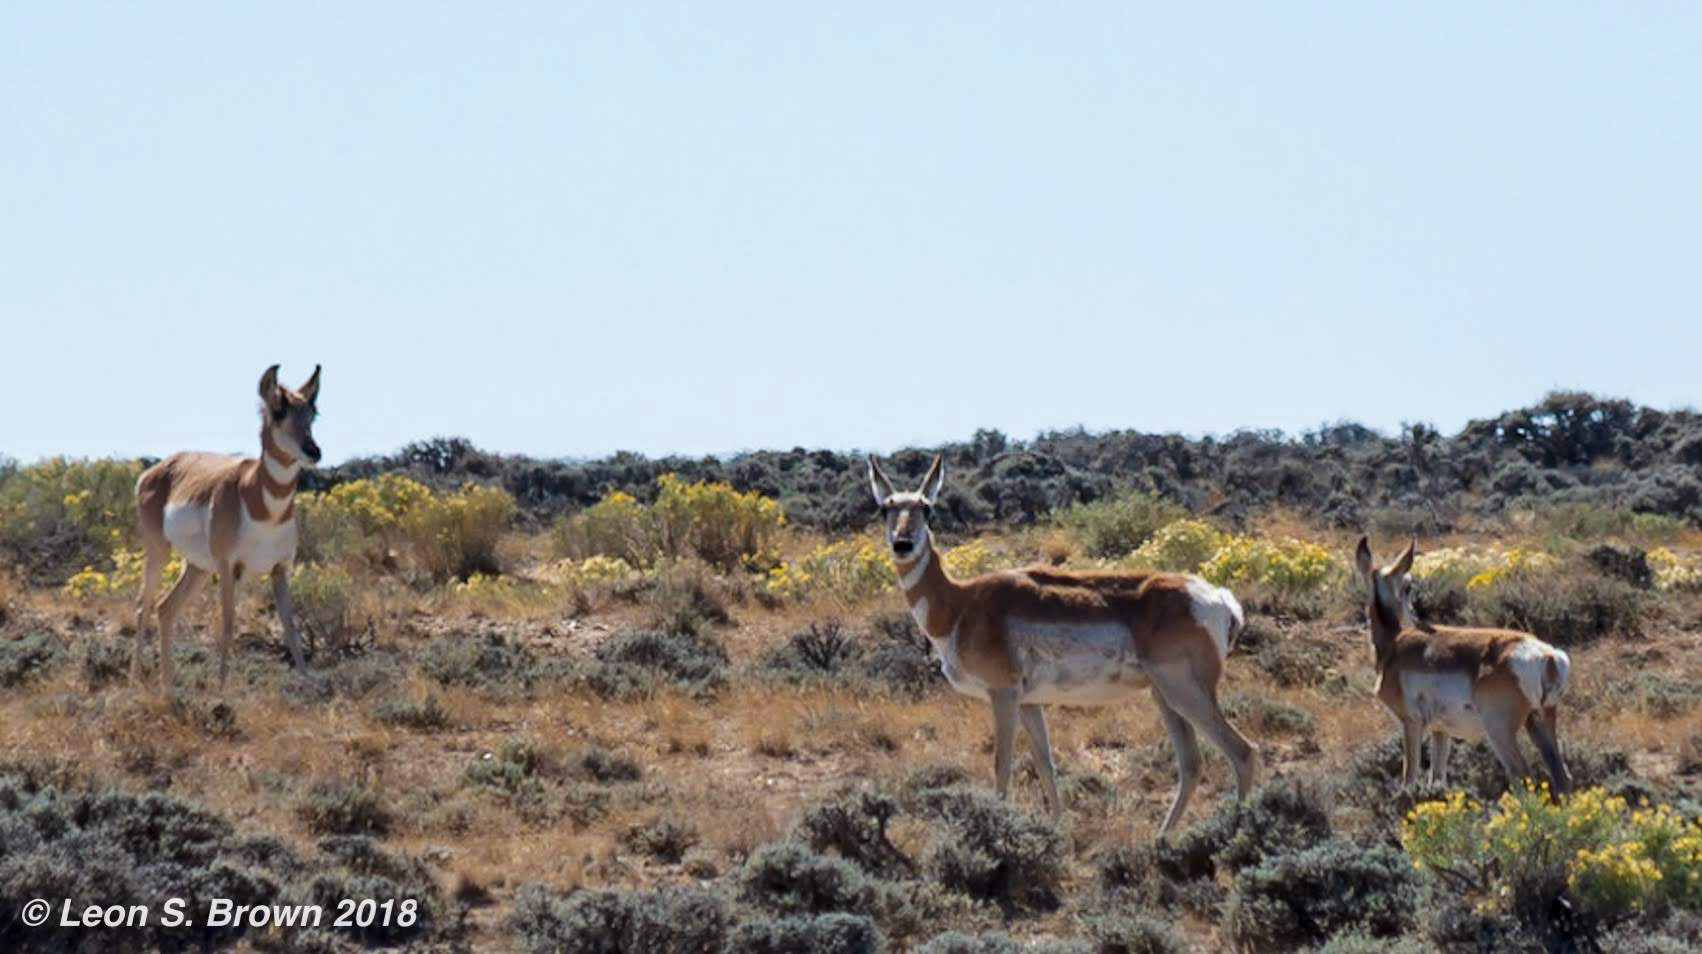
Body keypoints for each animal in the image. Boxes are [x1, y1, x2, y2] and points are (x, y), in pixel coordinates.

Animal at [133, 365, 322, 691]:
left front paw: (308, 686)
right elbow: (228, 623)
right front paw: (221, 690)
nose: (313, 451)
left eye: (312, 412)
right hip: (160, 552)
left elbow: (291, 629)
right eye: (278, 410)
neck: (261, 506)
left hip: (197, 566)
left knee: (165, 608)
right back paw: (136, 682)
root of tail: (156, 470)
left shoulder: (280, 569)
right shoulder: (228, 566)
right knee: (144, 607)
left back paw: (168, 688)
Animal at [867, 455, 1258, 834]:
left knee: (1241, 751)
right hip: (1165, 697)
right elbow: (1046, 763)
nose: (902, 544)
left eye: (927, 507)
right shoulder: (1030, 703)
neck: (961, 603)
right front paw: (1058, 831)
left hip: (1184, 692)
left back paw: (1235, 832)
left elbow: (1002, 764)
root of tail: (1217, 596)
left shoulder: (1003, 694)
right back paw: (1163, 838)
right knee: (1192, 763)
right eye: (886, 508)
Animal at [1355, 537, 1571, 793]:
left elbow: (1410, 777)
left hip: (1499, 731)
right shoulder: (1441, 731)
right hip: (1539, 722)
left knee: (1522, 774)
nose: (1416, 618)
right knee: (1562, 776)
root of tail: (1547, 656)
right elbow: (1437, 778)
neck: (1395, 641)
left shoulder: (1411, 724)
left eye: (1409, 586)